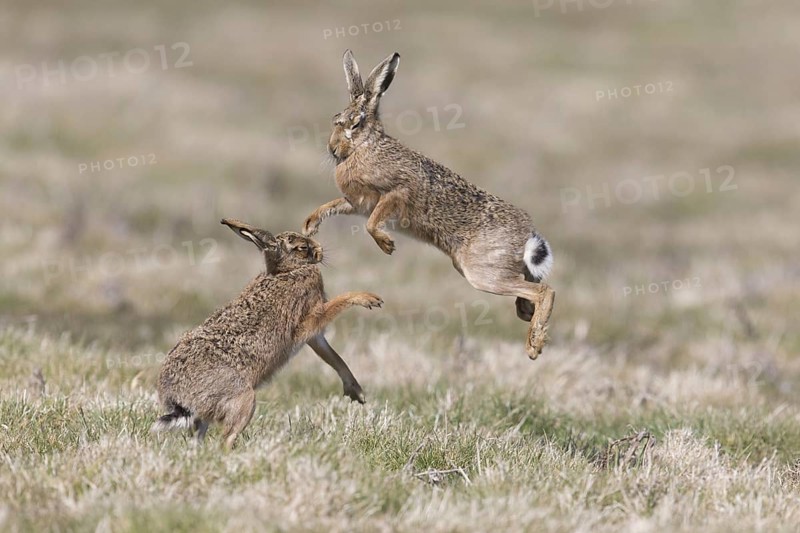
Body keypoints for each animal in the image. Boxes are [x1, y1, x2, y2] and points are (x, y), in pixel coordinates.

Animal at [153, 218, 382, 448]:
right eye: (302, 247)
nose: (320, 250)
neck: (286, 271)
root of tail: (179, 399)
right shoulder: (310, 320)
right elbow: (337, 304)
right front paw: (369, 298)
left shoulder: (314, 336)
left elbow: (334, 358)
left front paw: (357, 393)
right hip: (244, 400)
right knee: (225, 439)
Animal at [303, 50, 555, 359]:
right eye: (335, 119)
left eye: (356, 124)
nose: (333, 149)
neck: (365, 147)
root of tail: (526, 233)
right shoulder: (359, 202)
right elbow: (334, 205)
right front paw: (309, 225)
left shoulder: (396, 192)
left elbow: (373, 223)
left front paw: (387, 245)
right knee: (532, 288)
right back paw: (528, 318)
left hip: (483, 274)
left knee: (545, 291)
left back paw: (534, 344)